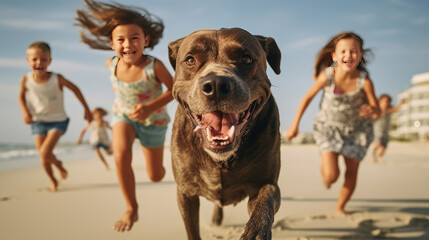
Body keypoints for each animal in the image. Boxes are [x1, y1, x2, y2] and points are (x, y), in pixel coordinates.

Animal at [169, 27, 282, 238]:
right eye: (190, 60)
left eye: (246, 59)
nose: (215, 85)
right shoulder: (186, 194)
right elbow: (192, 230)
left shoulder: (266, 182)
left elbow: (267, 196)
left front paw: (257, 229)